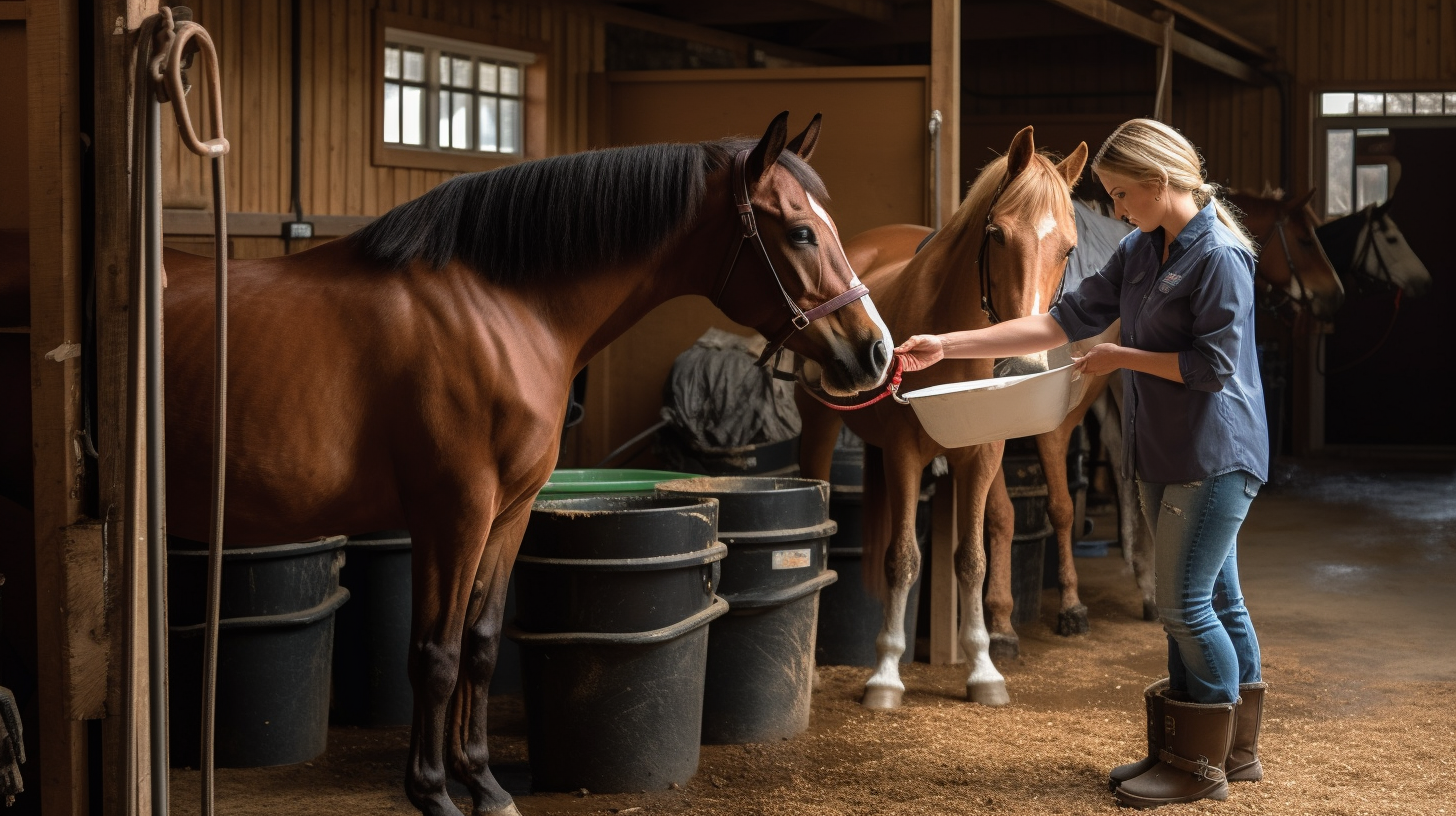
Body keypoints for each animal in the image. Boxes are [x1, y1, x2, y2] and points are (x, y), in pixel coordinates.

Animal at [2, 115, 896, 816]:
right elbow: (432, 654)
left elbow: (483, 643)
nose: (875, 351)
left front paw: (485, 785)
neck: (501, 307)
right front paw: (432, 792)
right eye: (801, 232)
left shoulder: (508, 513)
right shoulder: (452, 512)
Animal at [792, 126, 1089, 708]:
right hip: (819, 427)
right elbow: (904, 557)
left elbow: (972, 558)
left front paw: (984, 669)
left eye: (1068, 248)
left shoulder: (982, 454)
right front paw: (885, 677)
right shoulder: (905, 454)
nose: (1023, 362)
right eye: (997, 234)